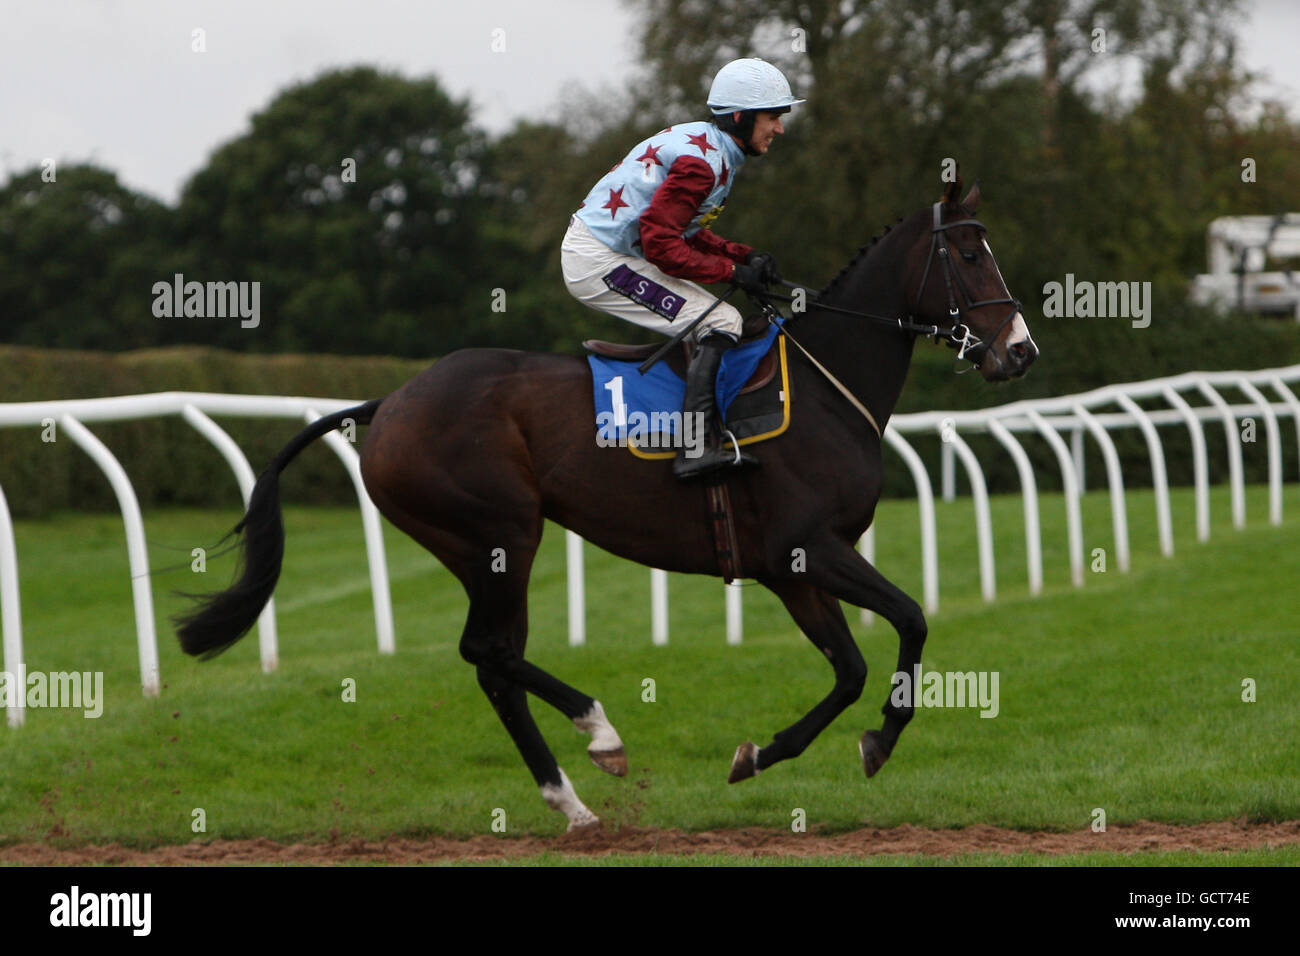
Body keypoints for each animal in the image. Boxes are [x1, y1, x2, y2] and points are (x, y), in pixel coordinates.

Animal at [178, 178, 1040, 832]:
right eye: (970, 254)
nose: (1020, 350)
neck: (827, 388)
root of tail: (388, 402)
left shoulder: (789, 569)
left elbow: (851, 668)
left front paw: (762, 754)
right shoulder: (808, 548)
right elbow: (911, 621)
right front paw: (880, 742)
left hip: (478, 549)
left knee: (493, 663)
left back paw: (573, 803)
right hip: (502, 532)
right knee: (487, 650)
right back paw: (599, 733)